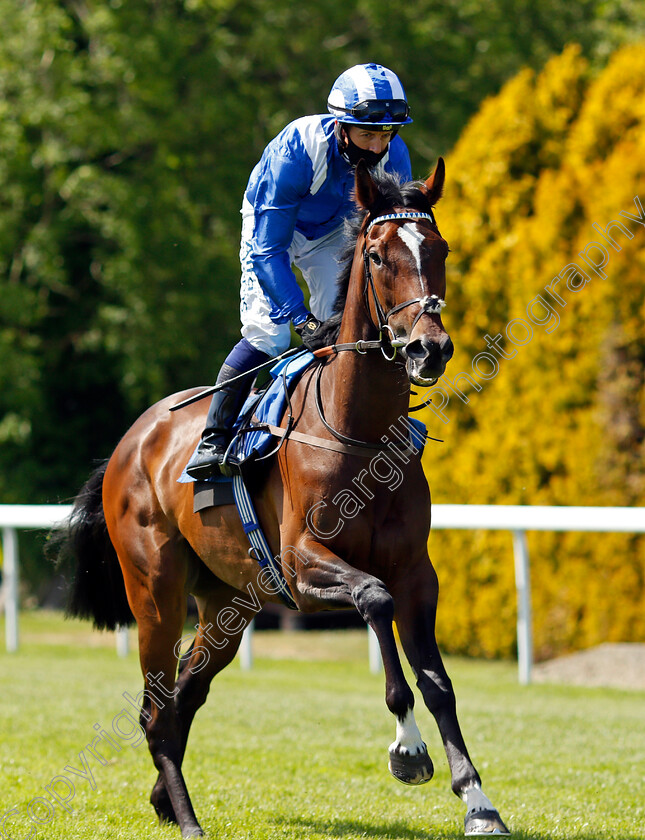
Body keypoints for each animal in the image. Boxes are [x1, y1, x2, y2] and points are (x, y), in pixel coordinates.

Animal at [51, 161, 508, 836]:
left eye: (441, 249)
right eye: (377, 255)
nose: (429, 347)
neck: (358, 431)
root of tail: (131, 441)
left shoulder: (416, 572)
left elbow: (437, 680)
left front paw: (477, 799)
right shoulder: (302, 565)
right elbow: (376, 603)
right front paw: (408, 749)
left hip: (229, 603)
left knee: (185, 692)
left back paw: (164, 799)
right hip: (155, 591)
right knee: (155, 707)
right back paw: (187, 817)